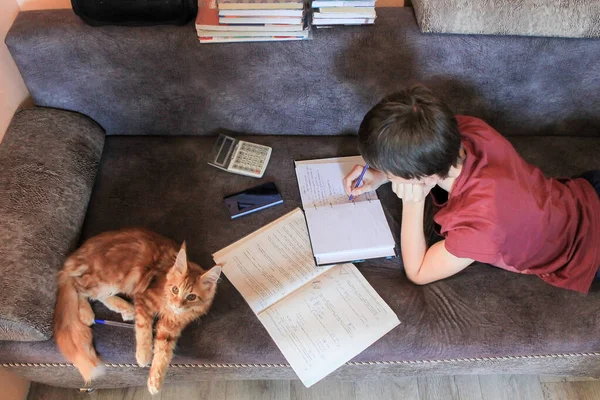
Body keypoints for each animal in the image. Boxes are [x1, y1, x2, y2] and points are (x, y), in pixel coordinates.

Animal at [54, 228, 221, 394]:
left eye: (191, 296)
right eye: (175, 289)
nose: (177, 305)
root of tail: (78, 252)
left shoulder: (170, 327)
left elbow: (163, 353)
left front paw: (155, 381)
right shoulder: (144, 298)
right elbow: (143, 329)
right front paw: (143, 355)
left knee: (97, 294)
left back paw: (126, 308)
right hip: (112, 279)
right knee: (77, 285)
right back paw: (86, 313)